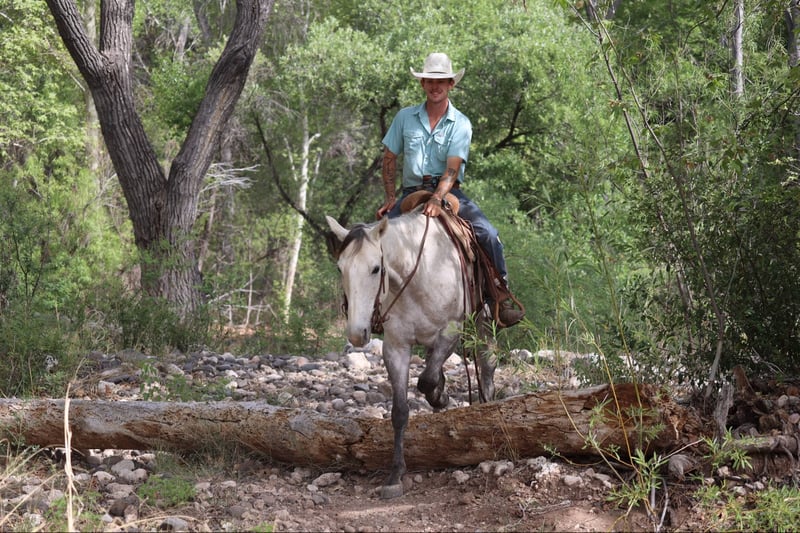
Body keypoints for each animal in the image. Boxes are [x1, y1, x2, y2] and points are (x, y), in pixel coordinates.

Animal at [326, 209, 497, 499]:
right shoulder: (396, 347)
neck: (418, 276)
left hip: (483, 320)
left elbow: (426, 381)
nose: (357, 333)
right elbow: (400, 410)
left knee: (486, 364)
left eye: (376, 268)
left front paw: (441, 397)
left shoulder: (450, 331)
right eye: (340, 268)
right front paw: (396, 474)